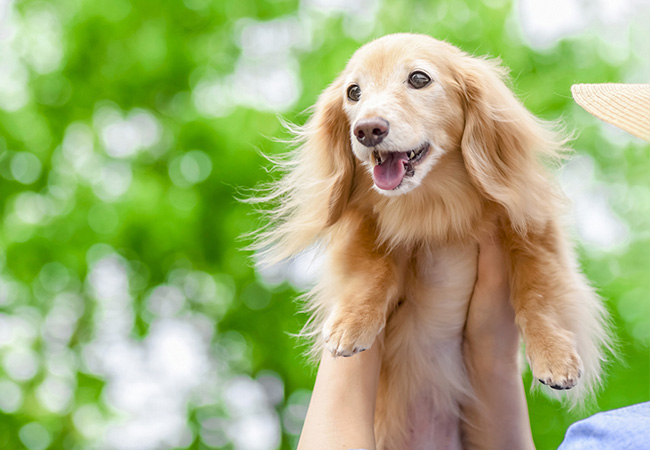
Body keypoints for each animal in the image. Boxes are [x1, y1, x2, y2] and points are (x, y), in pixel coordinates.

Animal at [252, 35, 608, 450]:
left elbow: (537, 293)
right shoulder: (364, 226)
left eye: (419, 78)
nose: (367, 130)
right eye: (353, 92)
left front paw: (554, 356)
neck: (432, 207)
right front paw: (352, 323)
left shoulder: (534, 230)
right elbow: (372, 267)